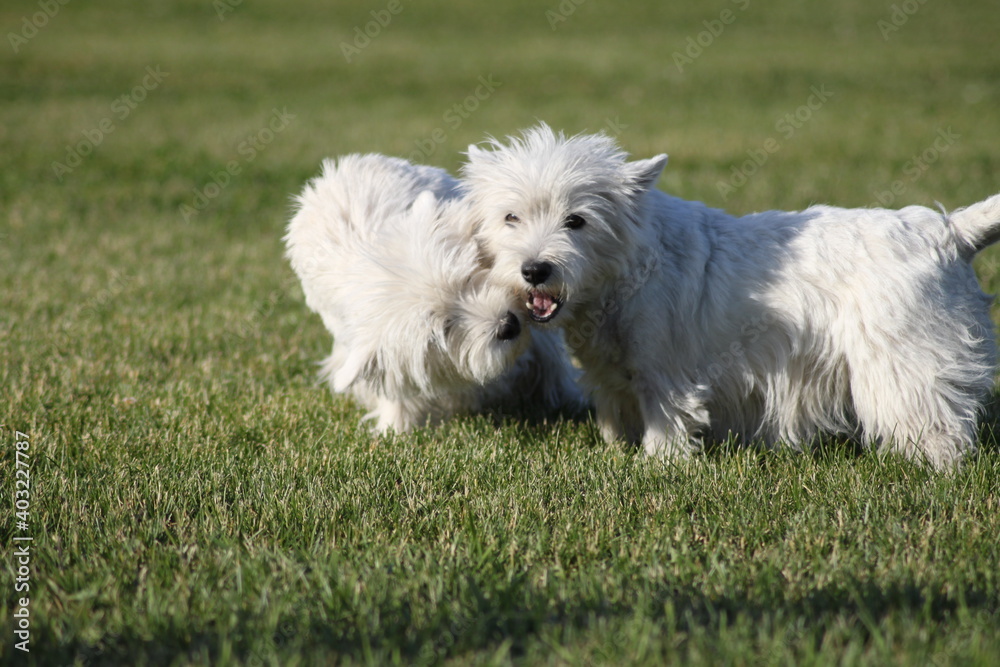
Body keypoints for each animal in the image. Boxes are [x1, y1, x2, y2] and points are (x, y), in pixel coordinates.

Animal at [286, 152, 584, 434]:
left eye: (467, 279)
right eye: (442, 329)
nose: (508, 325)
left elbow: (550, 361)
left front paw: (569, 401)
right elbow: (395, 390)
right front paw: (395, 429)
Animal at [464, 125, 1000, 470]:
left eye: (576, 220)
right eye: (511, 217)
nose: (535, 270)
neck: (628, 269)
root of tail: (949, 231)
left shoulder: (666, 374)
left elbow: (665, 428)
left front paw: (657, 468)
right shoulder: (612, 374)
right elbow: (616, 419)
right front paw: (619, 453)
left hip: (906, 361)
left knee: (939, 426)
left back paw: (933, 474)